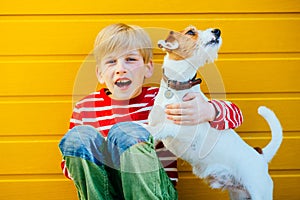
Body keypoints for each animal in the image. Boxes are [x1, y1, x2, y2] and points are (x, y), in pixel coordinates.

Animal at [146, 25, 282, 199]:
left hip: (260, 193)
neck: (177, 87)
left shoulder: (184, 128)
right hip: (239, 195)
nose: (217, 31)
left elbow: (165, 126)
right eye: (191, 32)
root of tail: (260, 156)